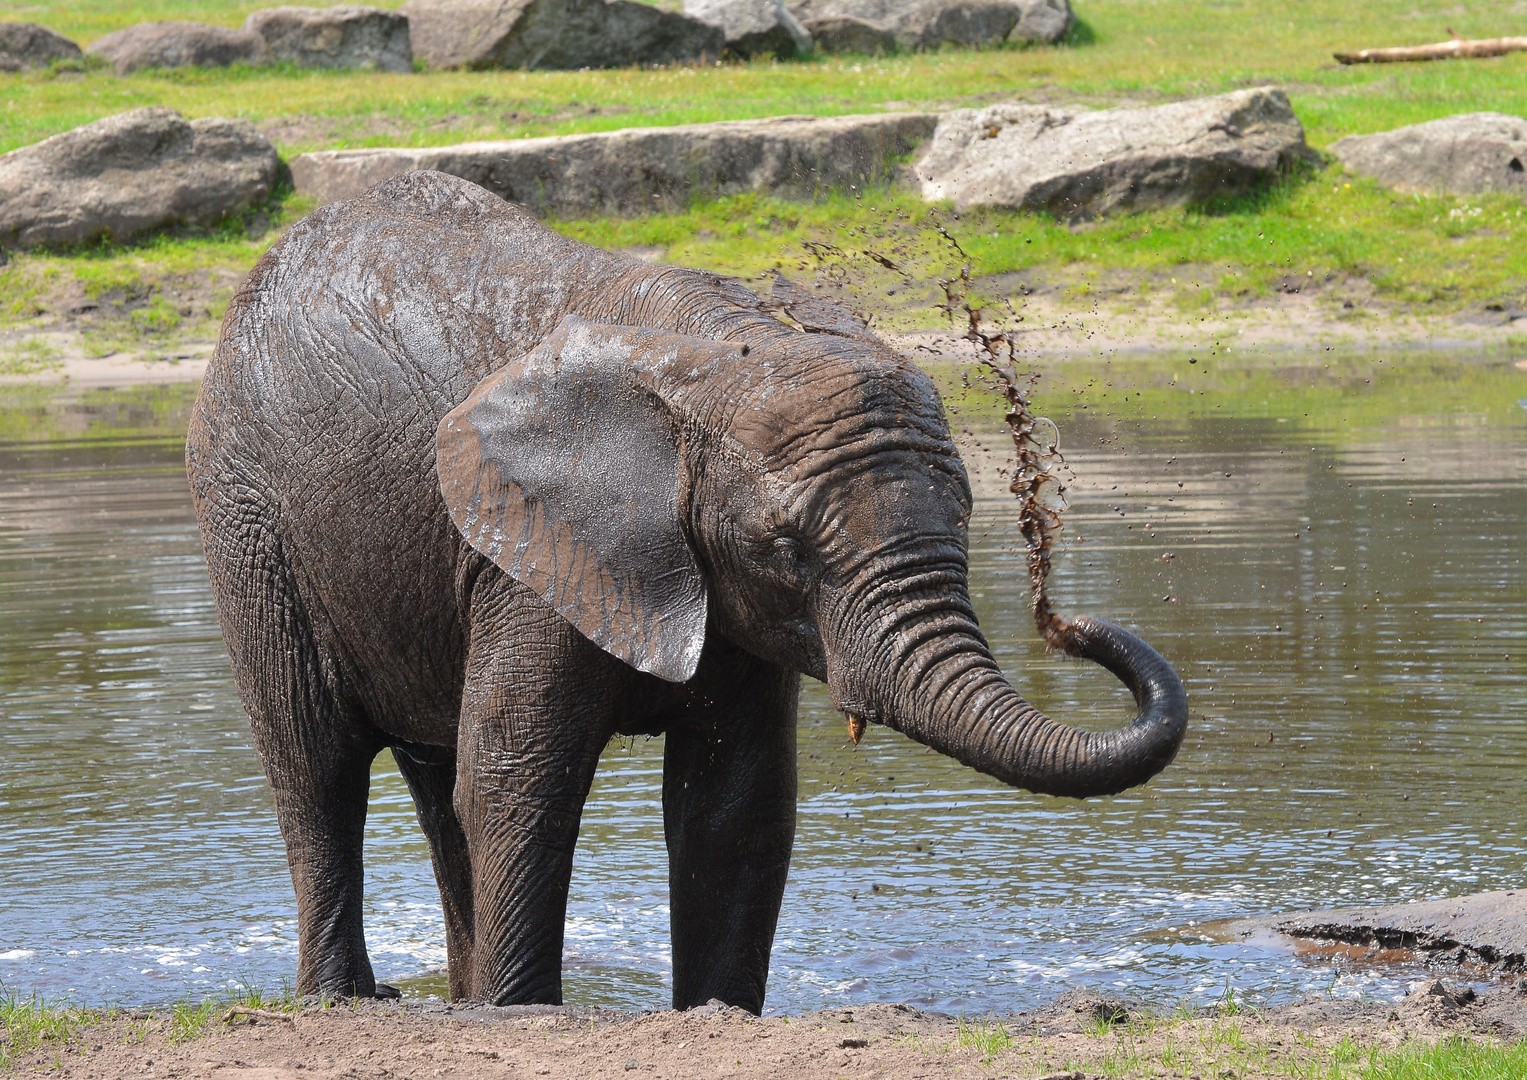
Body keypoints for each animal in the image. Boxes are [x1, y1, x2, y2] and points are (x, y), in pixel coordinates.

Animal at [187, 168, 1191, 1014]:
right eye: (786, 547)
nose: (1066, 621)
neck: (706, 349)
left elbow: (734, 807)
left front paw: (715, 1015)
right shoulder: (533, 554)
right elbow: (521, 780)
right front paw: (525, 1018)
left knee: (437, 786)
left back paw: (453, 1001)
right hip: (245, 515)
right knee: (318, 765)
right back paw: (350, 1002)